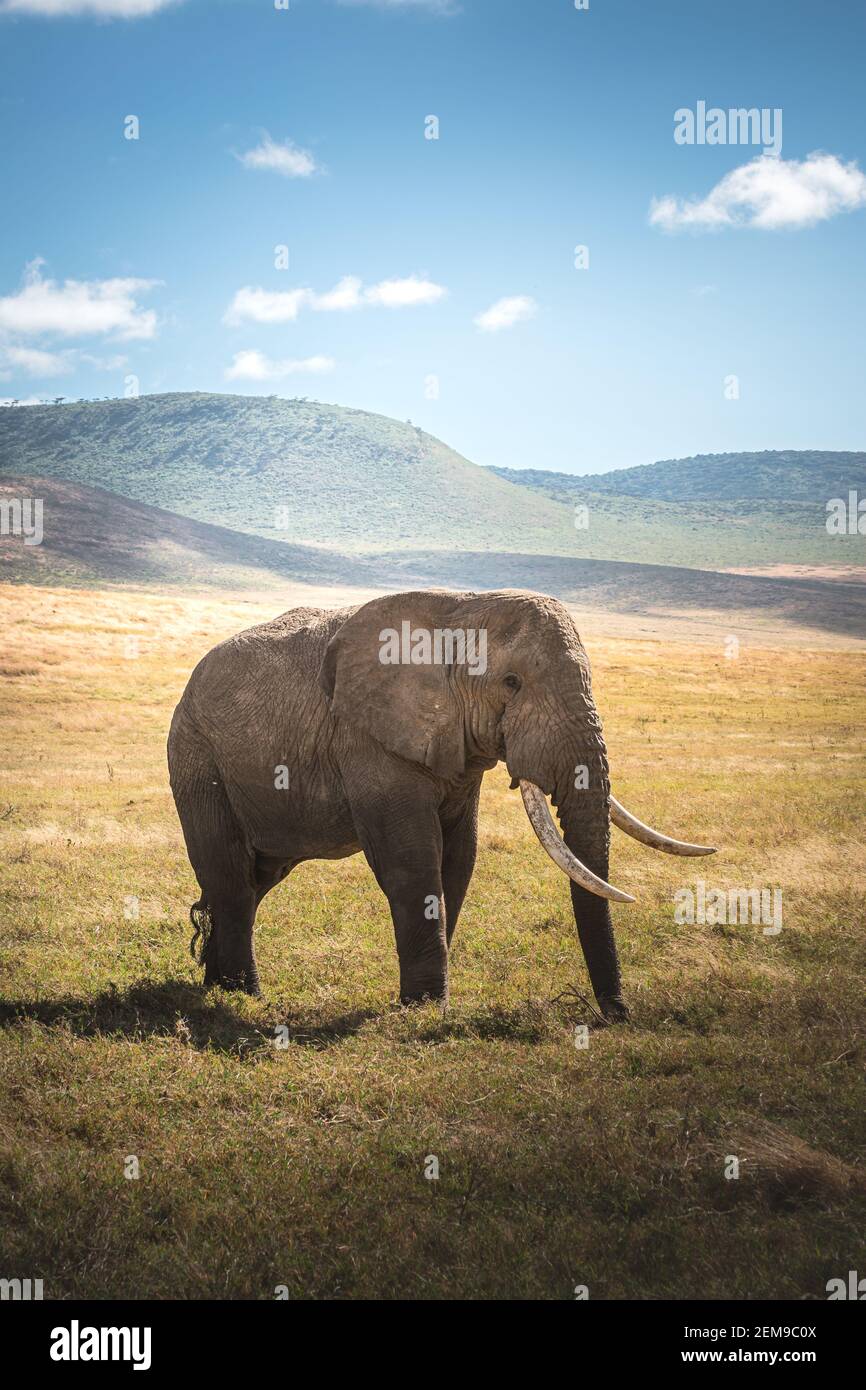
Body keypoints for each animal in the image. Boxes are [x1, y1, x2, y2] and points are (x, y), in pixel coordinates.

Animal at [166, 586, 717, 1023]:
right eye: (512, 683)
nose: (616, 1014)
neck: (462, 605)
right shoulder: (367, 739)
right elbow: (412, 861)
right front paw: (426, 1007)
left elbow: (458, 857)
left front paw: (429, 1003)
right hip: (196, 756)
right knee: (232, 877)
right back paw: (243, 997)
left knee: (254, 879)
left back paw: (216, 984)